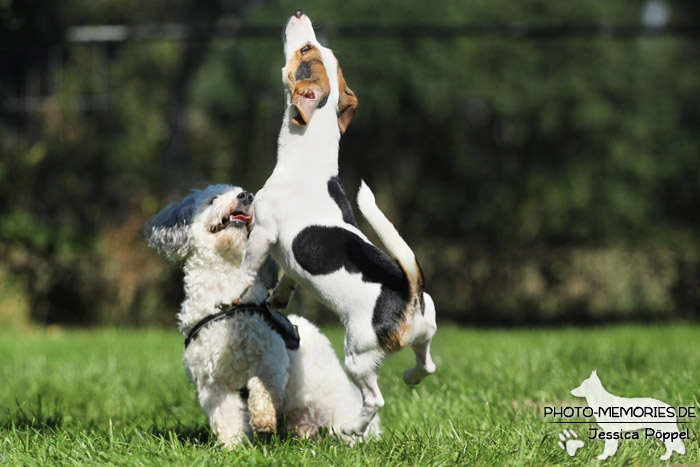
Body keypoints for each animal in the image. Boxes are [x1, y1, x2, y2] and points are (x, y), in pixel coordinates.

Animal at [144, 184, 380, 450]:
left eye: (245, 194)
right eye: (212, 199)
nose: (246, 196)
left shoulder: (272, 360)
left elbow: (261, 384)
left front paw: (263, 418)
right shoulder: (211, 383)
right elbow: (226, 417)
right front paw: (232, 447)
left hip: (335, 402)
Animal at [219, 11, 438, 436]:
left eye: (306, 50)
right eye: (318, 49)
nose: (300, 14)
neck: (309, 155)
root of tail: (410, 294)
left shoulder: (262, 233)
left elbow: (246, 270)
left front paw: (231, 295)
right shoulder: (283, 253)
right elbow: (288, 276)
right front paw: (279, 298)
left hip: (357, 355)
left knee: (375, 399)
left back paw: (351, 428)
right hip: (424, 335)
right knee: (427, 365)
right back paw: (410, 377)